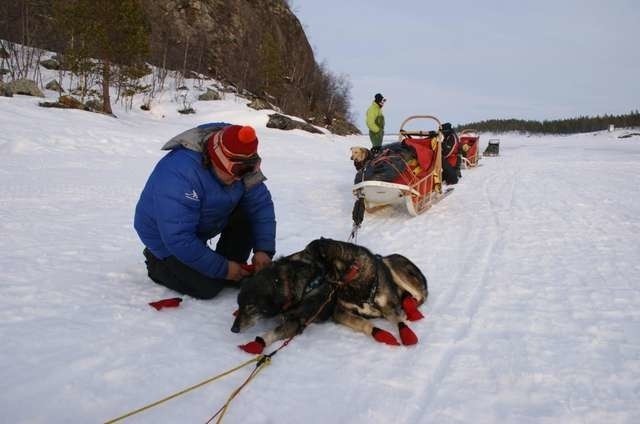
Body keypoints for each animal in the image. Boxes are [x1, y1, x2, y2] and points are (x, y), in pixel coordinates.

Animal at [232, 238, 428, 354]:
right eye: (240, 305)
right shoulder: (340, 312)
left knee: (418, 296)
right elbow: (364, 323)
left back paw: (411, 308)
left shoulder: (298, 322)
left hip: (394, 269)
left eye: (250, 307)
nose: (233, 329)